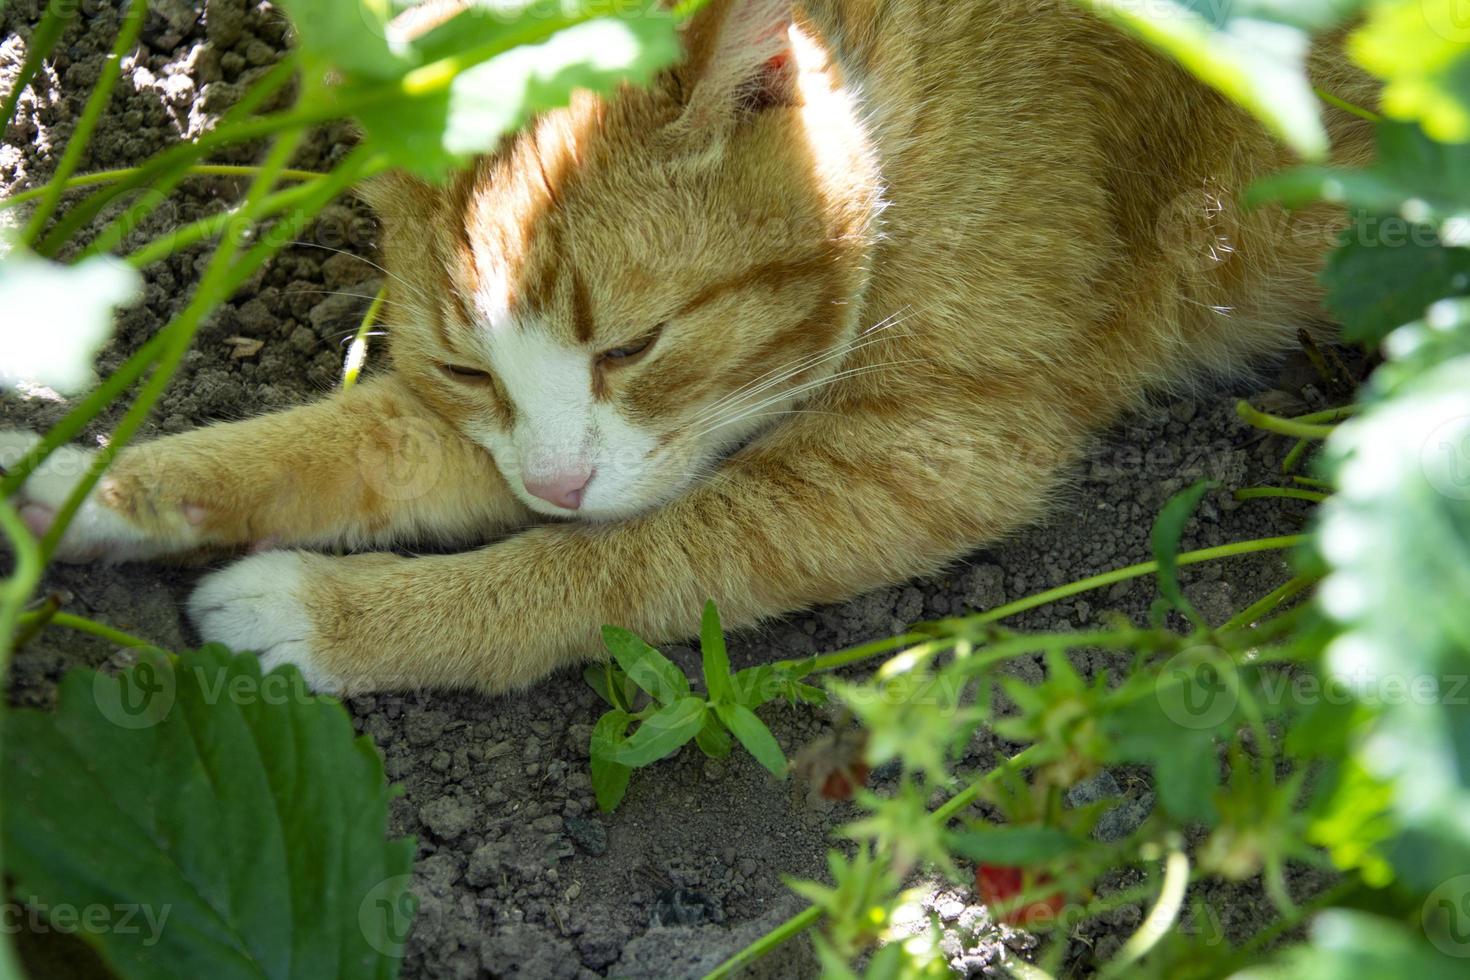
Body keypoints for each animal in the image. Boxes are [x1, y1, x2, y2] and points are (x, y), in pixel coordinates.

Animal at [0, 0, 1375, 693]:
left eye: (634, 346)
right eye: (466, 370)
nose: (555, 485)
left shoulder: (921, 455)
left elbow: (607, 566)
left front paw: (333, 615)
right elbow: (335, 449)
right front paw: (90, 483)